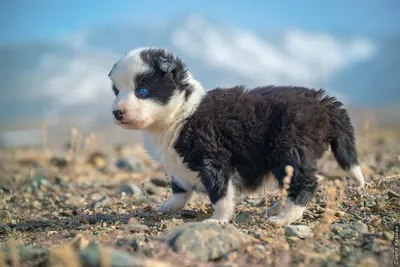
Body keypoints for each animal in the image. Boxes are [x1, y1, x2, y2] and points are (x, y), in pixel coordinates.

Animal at [108, 46, 364, 226]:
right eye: (116, 91)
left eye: (143, 91)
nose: (116, 113)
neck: (181, 113)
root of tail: (323, 102)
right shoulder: (175, 162)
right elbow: (179, 188)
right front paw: (167, 207)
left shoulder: (213, 157)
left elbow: (219, 192)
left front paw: (218, 219)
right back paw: (276, 209)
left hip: (290, 147)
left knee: (305, 181)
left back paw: (284, 217)